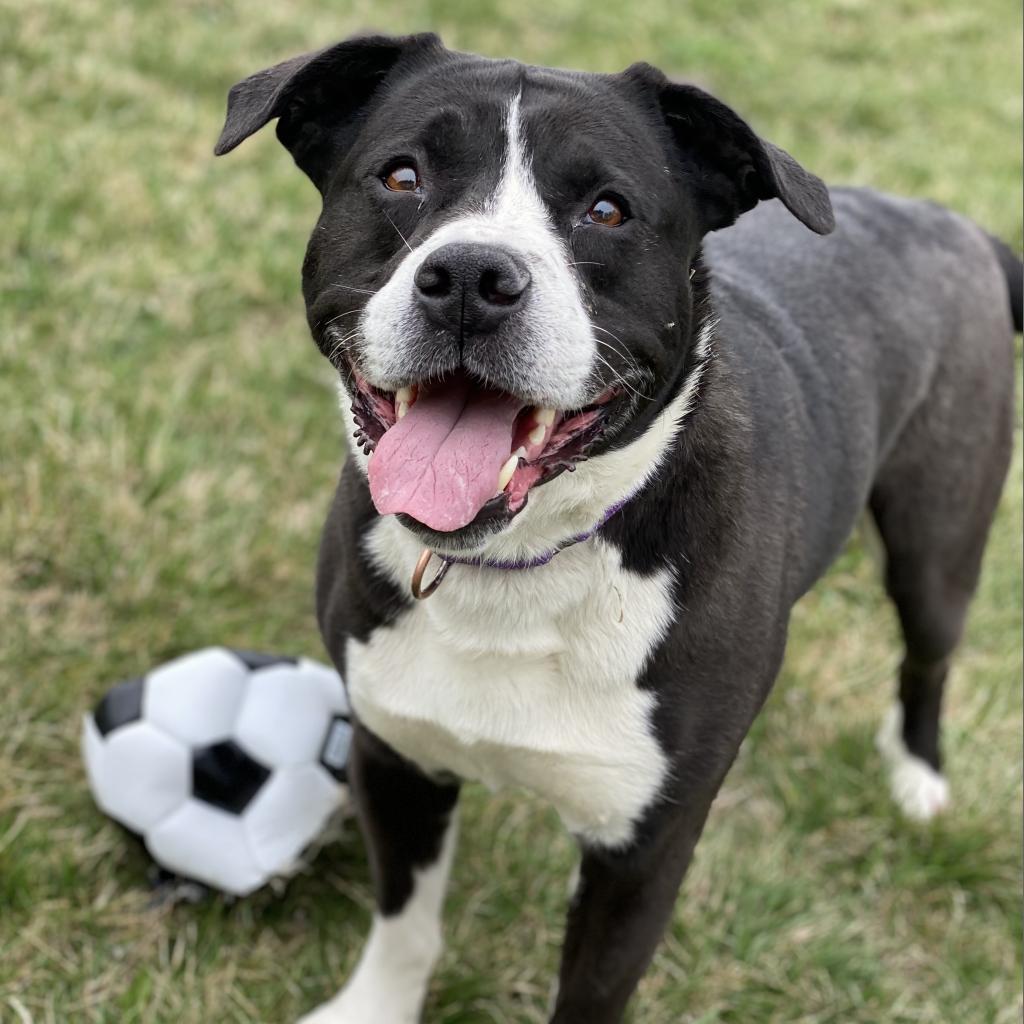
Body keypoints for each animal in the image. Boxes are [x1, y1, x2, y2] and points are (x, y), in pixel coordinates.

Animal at [211, 32, 1019, 1024]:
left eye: (607, 210)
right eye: (401, 176)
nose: (472, 278)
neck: (521, 563)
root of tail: (958, 225)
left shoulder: (642, 849)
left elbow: (592, 991)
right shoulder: (393, 755)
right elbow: (404, 924)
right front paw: (374, 1009)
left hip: (937, 540)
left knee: (928, 652)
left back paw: (918, 776)